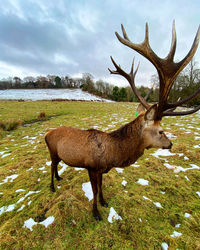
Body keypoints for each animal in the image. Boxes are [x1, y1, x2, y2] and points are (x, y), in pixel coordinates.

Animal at [0, 100, 199, 249]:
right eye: (161, 131)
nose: (170, 144)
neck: (112, 155)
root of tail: (46, 134)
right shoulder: (92, 168)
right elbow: (94, 190)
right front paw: (95, 213)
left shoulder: (102, 169)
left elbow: (102, 187)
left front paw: (104, 202)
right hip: (52, 152)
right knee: (50, 166)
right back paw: (52, 186)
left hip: (58, 154)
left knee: (56, 167)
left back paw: (59, 177)